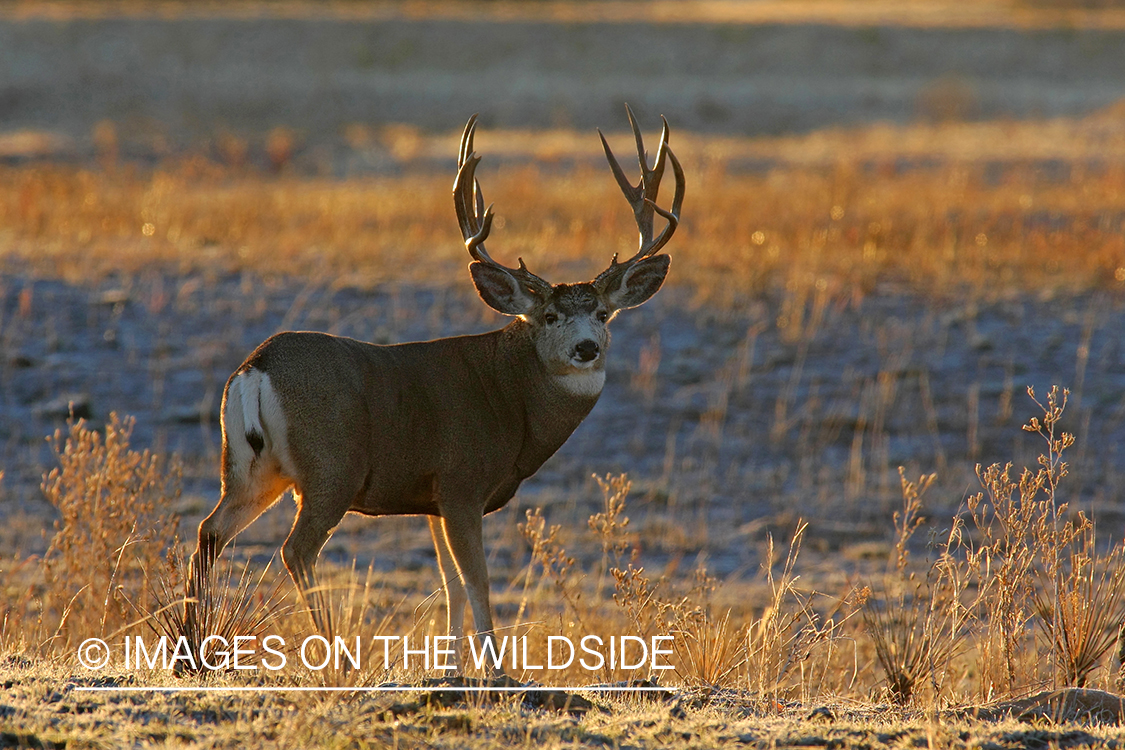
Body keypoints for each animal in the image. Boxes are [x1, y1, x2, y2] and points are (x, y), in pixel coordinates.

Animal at [187, 106, 685, 670]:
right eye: (550, 316)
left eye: (603, 314)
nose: (586, 348)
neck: (509, 397)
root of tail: (256, 365)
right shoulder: (461, 481)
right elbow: (478, 580)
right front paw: (495, 669)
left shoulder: (431, 499)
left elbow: (450, 583)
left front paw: (451, 667)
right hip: (332, 466)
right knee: (296, 549)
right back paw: (338, 657)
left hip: (250, 469)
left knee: (209, 531)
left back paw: (191, 646)